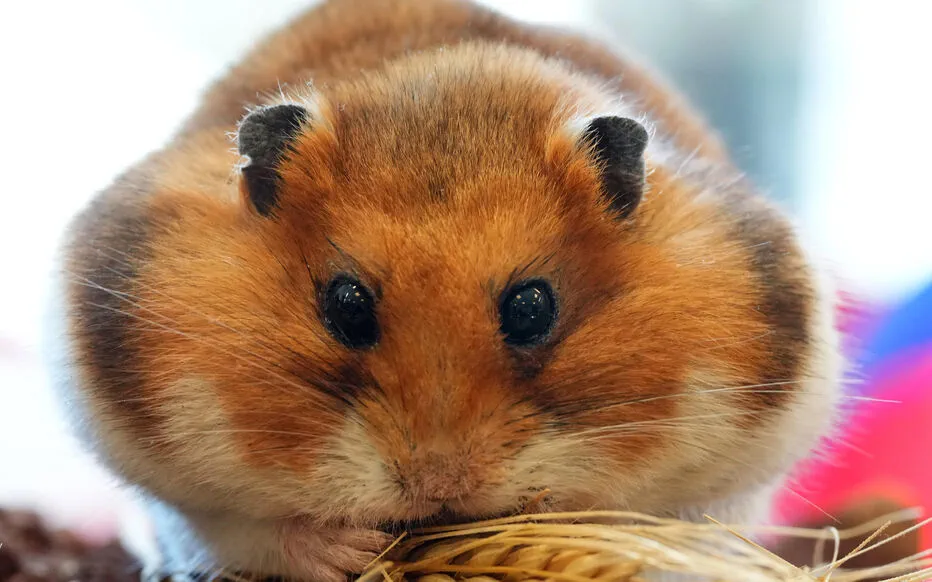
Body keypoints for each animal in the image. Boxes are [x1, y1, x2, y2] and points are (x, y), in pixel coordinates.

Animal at [49, 0, 843, 580]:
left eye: (532, 308)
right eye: (346, 305)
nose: (439, 492)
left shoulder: (735, 472)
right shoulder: (174, 481)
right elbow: (249, 528)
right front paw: (354, 549)